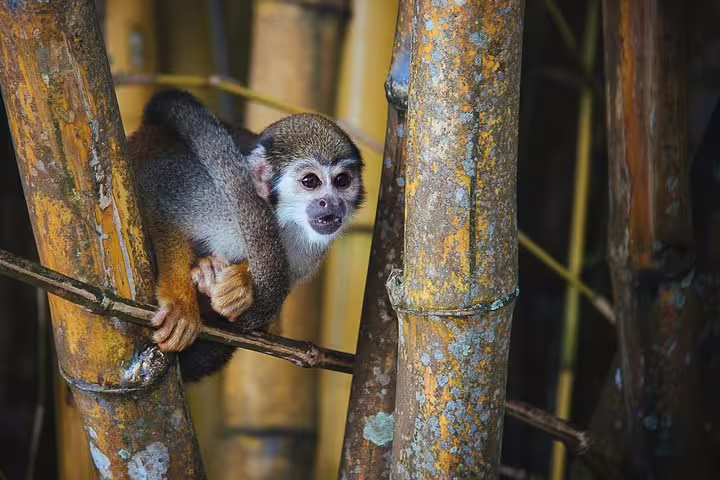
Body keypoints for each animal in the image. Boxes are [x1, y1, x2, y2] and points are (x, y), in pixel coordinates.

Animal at [128, 89, 365, 382]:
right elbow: (156, 192)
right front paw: (181, 303)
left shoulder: (308, 255)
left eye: (342, 181)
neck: (280, 220)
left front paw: (241, 285)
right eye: (310, 182)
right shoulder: (213, 197)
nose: (331, 203)